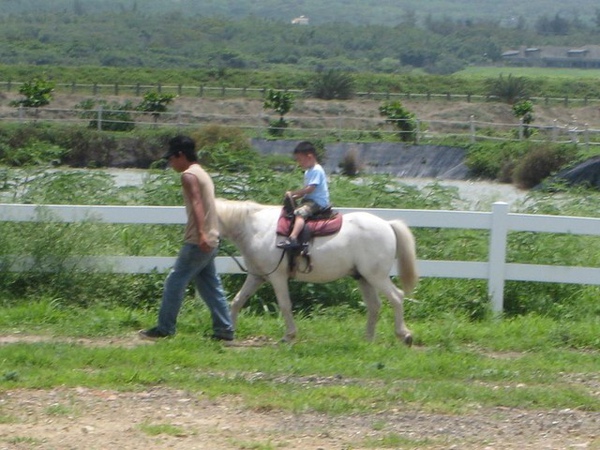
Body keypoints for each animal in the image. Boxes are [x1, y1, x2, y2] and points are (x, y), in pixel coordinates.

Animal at [216, 200, 418, 344]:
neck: (256, 229)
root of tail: (388, 224)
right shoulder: (256, 276)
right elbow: (237, 301)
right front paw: (229, 333)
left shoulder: (277, 277)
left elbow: (285, 305)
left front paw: (289, 335)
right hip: (364, 278)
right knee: (374, 305)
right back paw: (368, 338)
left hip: (376, 276)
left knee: (397, 297)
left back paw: (404, 335)